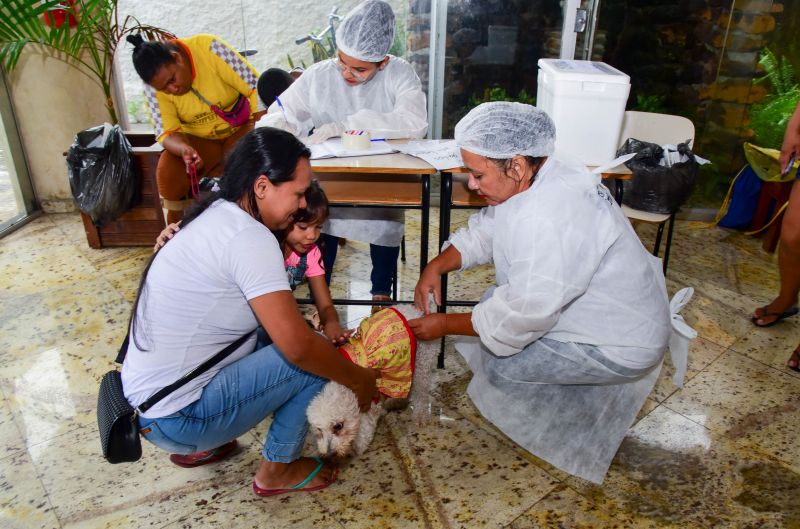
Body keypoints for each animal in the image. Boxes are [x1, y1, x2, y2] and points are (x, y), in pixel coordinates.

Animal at [306, 304, 438, 460]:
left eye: (338, 426)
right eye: (319, 430)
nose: (328, 455)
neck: (347, 382)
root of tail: (417, 311)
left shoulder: (370, 398)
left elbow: (365, 427)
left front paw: (357, 447)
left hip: (421, 364)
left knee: (421, 392)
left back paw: (420, 415)